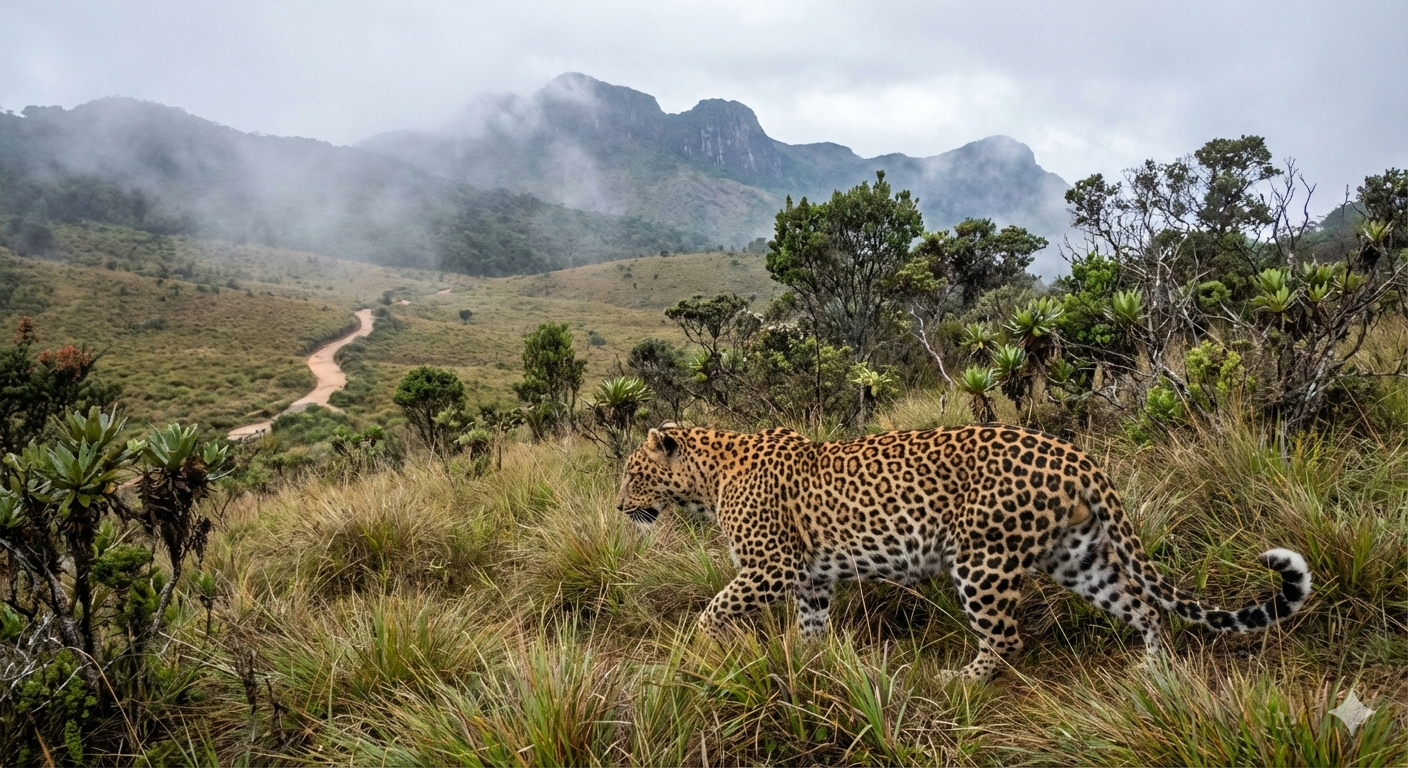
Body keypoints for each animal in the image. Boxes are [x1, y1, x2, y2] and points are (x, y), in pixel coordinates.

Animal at [616, 422, 1311, 681]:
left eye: (631, 475)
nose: (620, 508)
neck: (707, 479)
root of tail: (1075, 453)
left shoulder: (772, 568)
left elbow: (713, 607)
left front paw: (697, 647)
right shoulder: (811, 579)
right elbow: (809, 629)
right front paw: (810, 668)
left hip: (981, 561)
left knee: (1007, 638)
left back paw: (962, 681)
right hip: (1076, 557)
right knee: (1142, 606)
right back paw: (1154, 671)